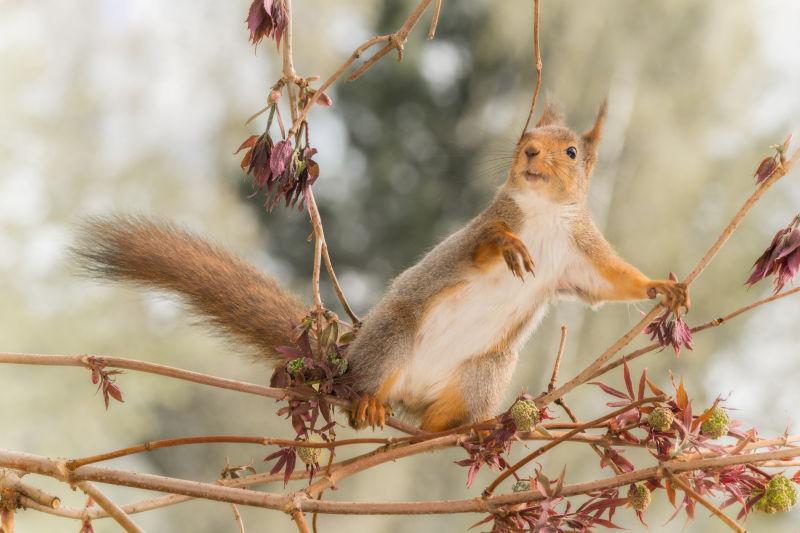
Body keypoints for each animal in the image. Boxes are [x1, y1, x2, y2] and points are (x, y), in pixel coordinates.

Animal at [73, 98, 688, 432]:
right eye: (525, 135)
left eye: (572, 152)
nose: (530, 152)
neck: (539, 213)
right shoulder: (484, 224)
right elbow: (479, 247)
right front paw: (506, 248)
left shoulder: (580, 256)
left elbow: (611, 283)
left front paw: (663, 288)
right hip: (396, 334)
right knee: (366, 384)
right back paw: (366, 401)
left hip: (486, 370)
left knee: (439, 417)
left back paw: (464, 427)